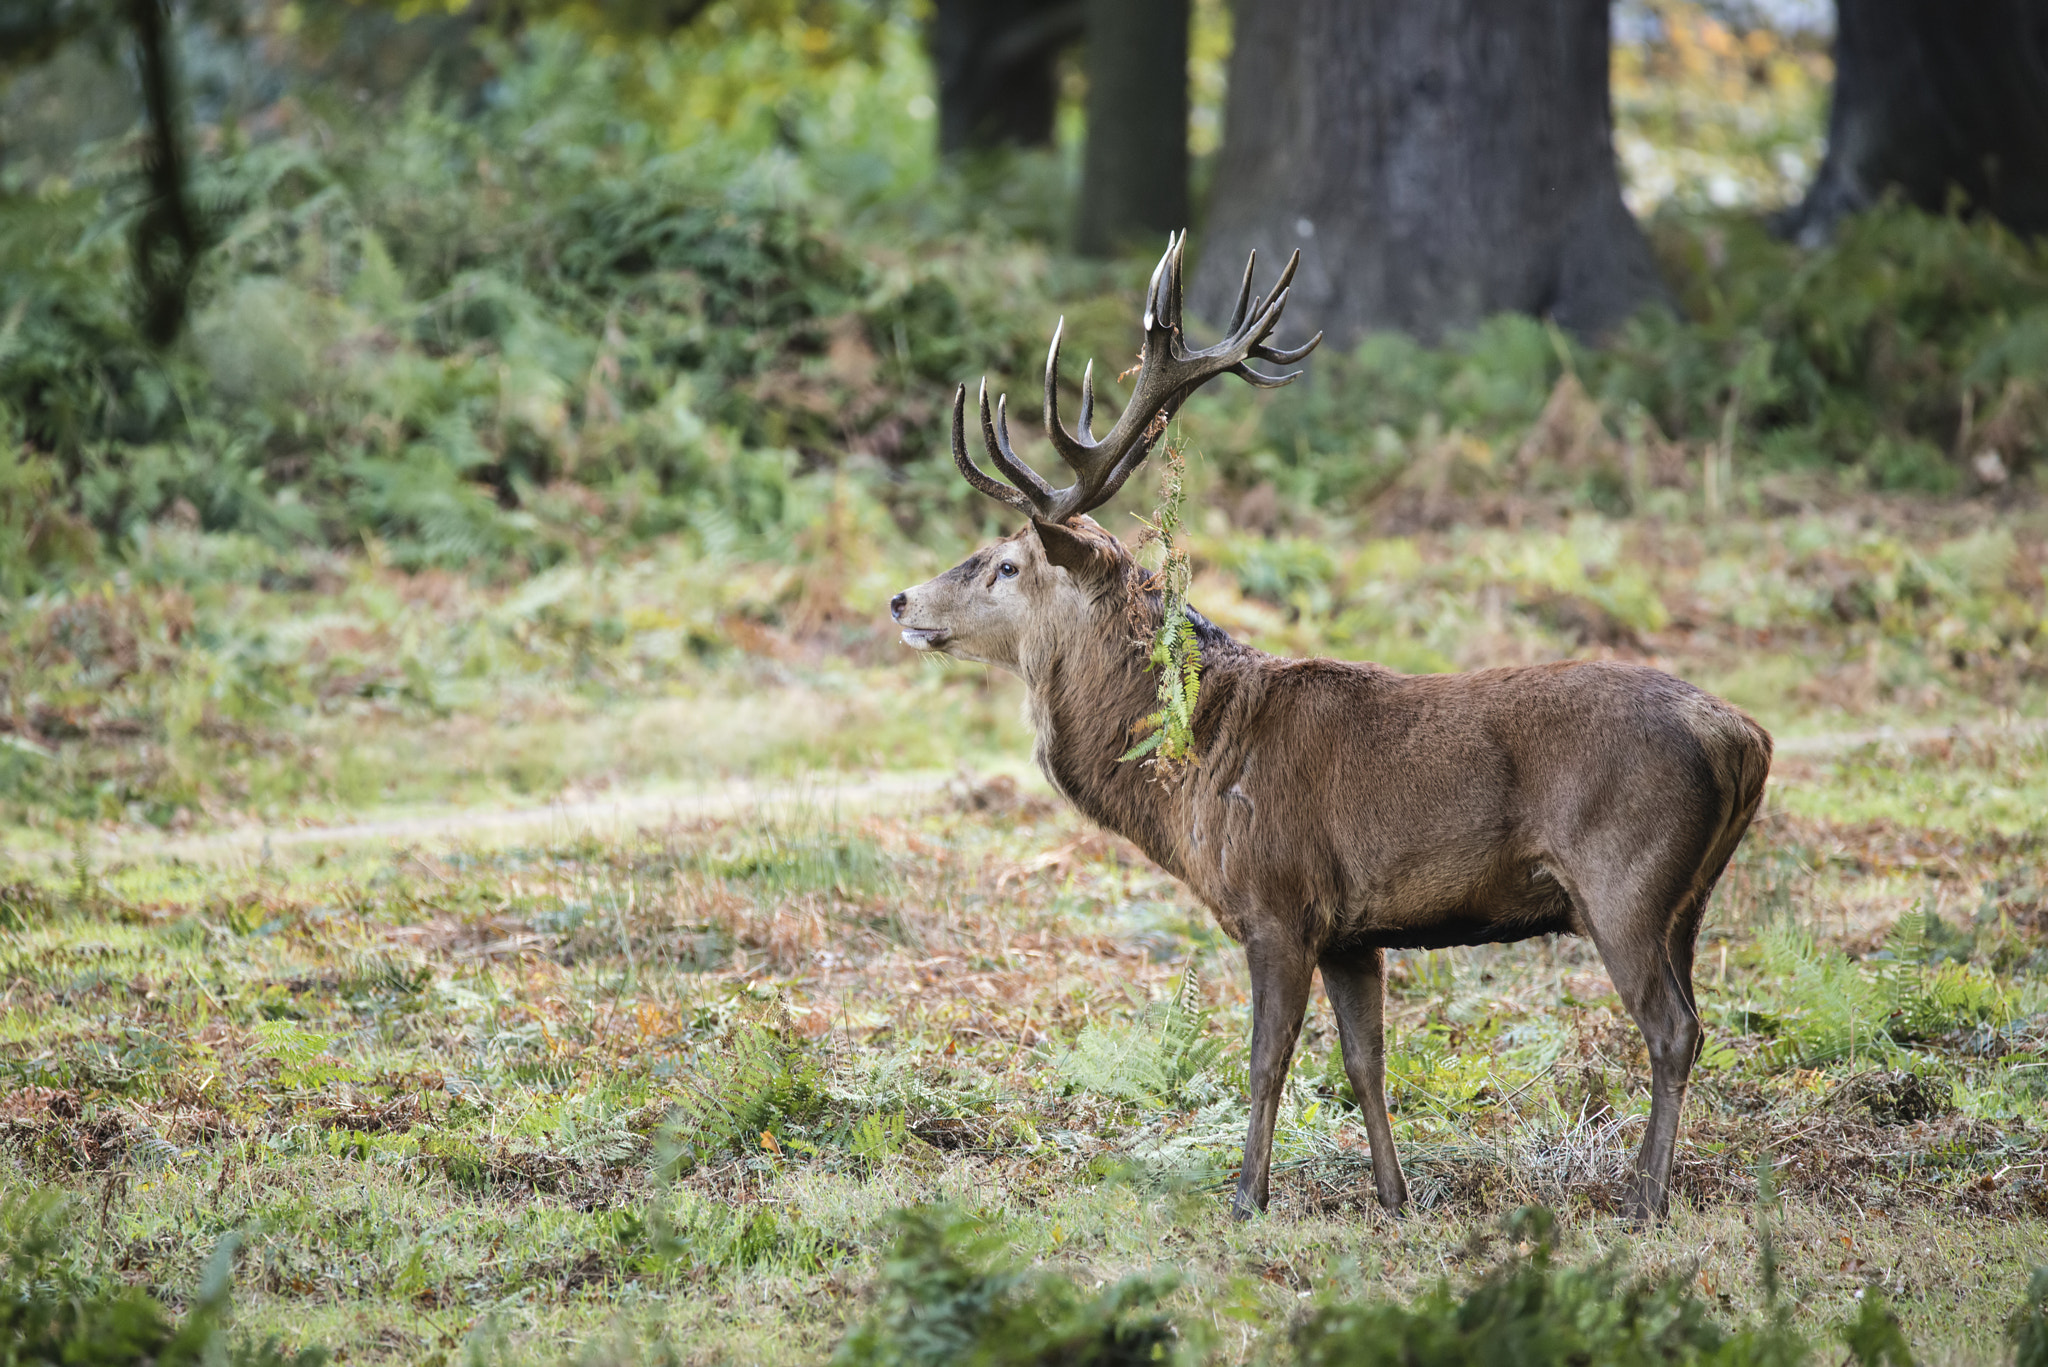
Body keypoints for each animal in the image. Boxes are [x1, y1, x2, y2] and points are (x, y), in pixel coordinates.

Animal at [888, 233, 1772, 1223]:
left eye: (1006, 564)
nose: (901, 600)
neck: (1197, 778)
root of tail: (1744, 739)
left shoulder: (1277, 899)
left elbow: (1266, 1059)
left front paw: (1246, 1196)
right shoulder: (1355, 928)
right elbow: (1365, 1062)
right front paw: (1393, 1194)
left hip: (1625, 878)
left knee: (1673, 1028)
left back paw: (1644, 1197)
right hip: (1688, 898)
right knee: (1692, 1018)